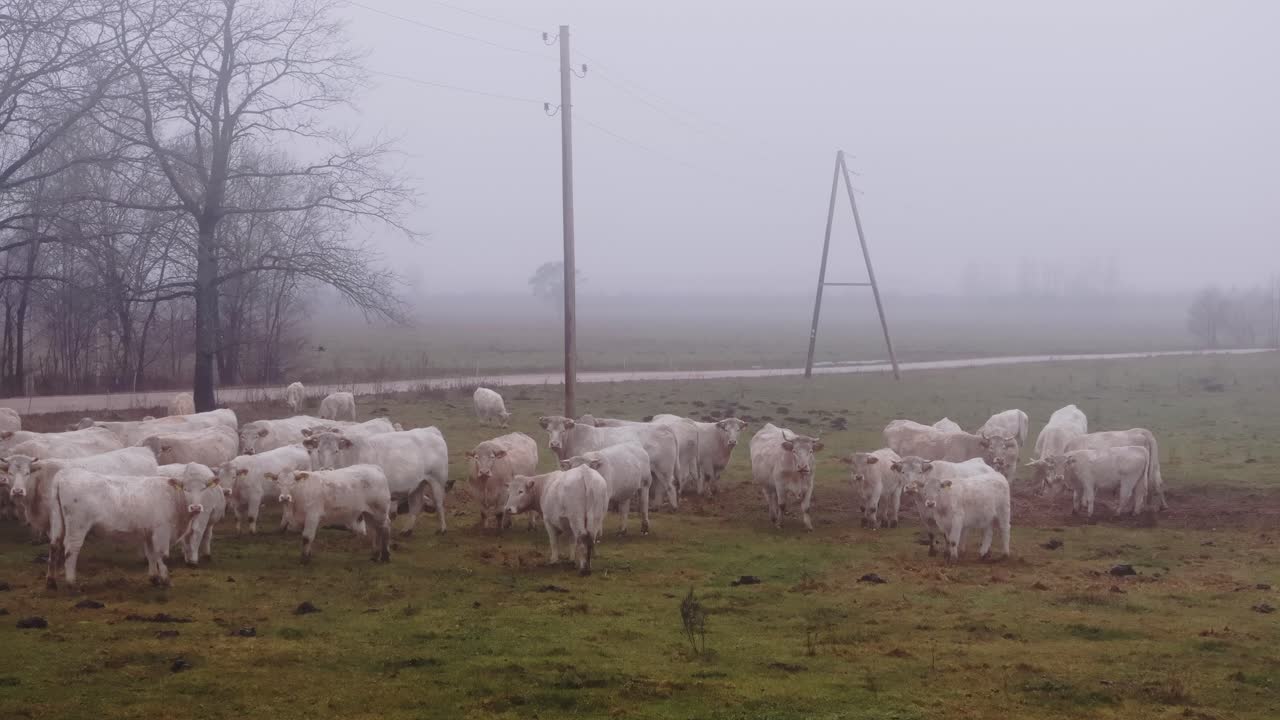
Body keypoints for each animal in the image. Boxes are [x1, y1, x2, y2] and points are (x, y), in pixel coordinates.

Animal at [45, 464, 214, 589]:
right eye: (185, 489)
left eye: (203, 489)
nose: (196, 507)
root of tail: (65, 474)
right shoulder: (161, 531)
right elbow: (161, 554)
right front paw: (166, 580)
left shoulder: (149, 532)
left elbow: (151, 554)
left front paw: (154, 578)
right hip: (77, 525)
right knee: (71, 549)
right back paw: (71, 583)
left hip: (56, 519)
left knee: (54, 545)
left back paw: (51, 582)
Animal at [303, 427, 451, 534]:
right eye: (318, 450)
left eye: (336, 450)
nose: (326, 468)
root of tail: (430, 430)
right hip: (417, 484)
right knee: (416, 505)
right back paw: (406, 530)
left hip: (437, 480)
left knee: (439, 503)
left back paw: (442, 529)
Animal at [538, 416, 680, 510]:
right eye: (549, 430)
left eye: (563, 431)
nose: (554, 444)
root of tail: (664, 428)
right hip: (656, 471)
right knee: (660, 487)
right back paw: (656, 506)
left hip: (664, 469)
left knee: (670, 486)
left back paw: (673, 508)